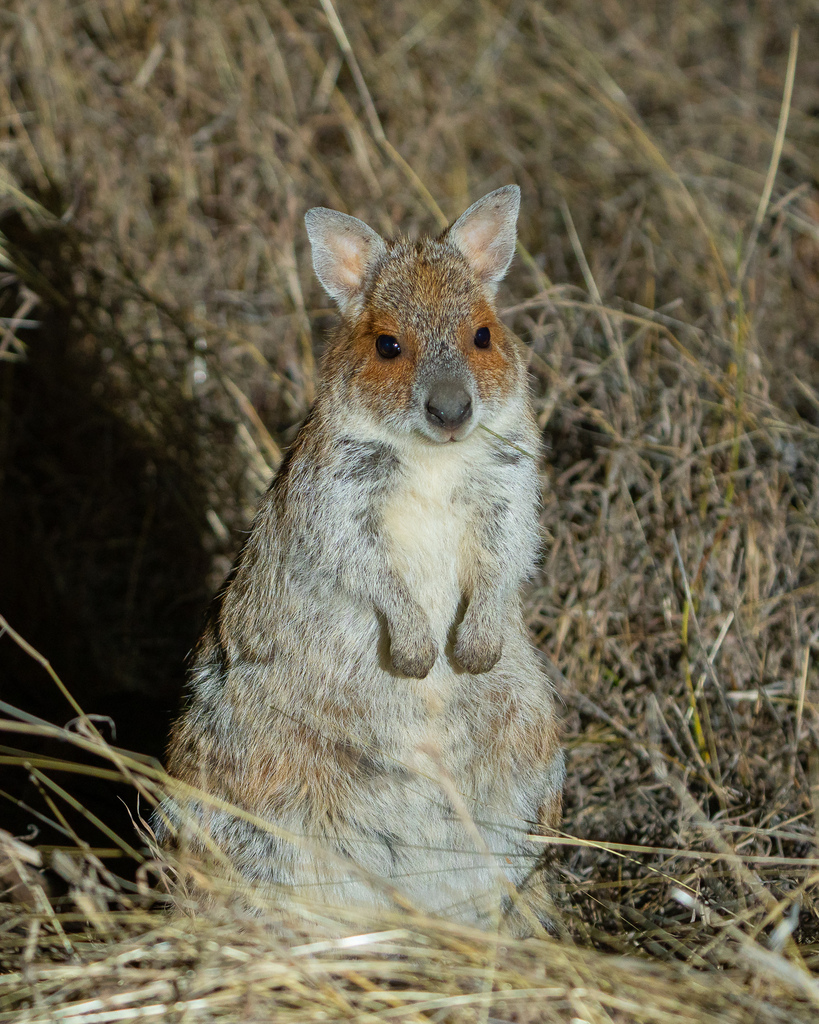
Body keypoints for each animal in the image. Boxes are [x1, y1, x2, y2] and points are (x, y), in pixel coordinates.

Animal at [158, 185, 564, 932]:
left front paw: (472, 651)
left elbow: (505, 560)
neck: (434, 459)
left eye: (483, 336)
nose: (451, 412)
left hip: (529, 750)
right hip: (245, 787)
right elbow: (370, 571)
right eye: (387, 345)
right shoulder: (335, 508)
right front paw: (416, 655)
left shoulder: (510, 493)